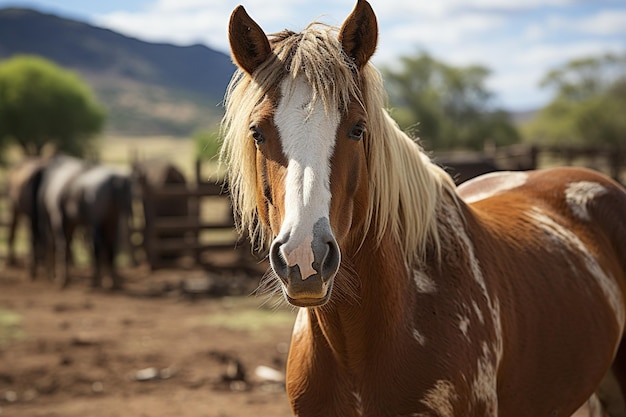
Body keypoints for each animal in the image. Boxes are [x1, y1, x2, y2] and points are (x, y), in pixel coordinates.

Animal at [34, 154, 133, 288]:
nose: (49, 275)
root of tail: (115, 180)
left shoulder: (59, 219)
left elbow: (61, 245)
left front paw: (62, 279)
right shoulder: (72, 224)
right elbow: (66, 246)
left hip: (96, 223)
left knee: (97, 247)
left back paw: (95, 281)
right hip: (111, 222)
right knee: (109, 247)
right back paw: (112, 282)